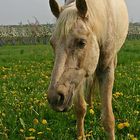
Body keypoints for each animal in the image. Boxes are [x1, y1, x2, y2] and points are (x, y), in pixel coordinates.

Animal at [47, 0, 129, 139]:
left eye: (81, 42)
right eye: (52, 44)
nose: (55, 98)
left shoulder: (106, 69)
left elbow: (108, 119)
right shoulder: (78, 76)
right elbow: (80, 109)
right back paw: (90, 105)